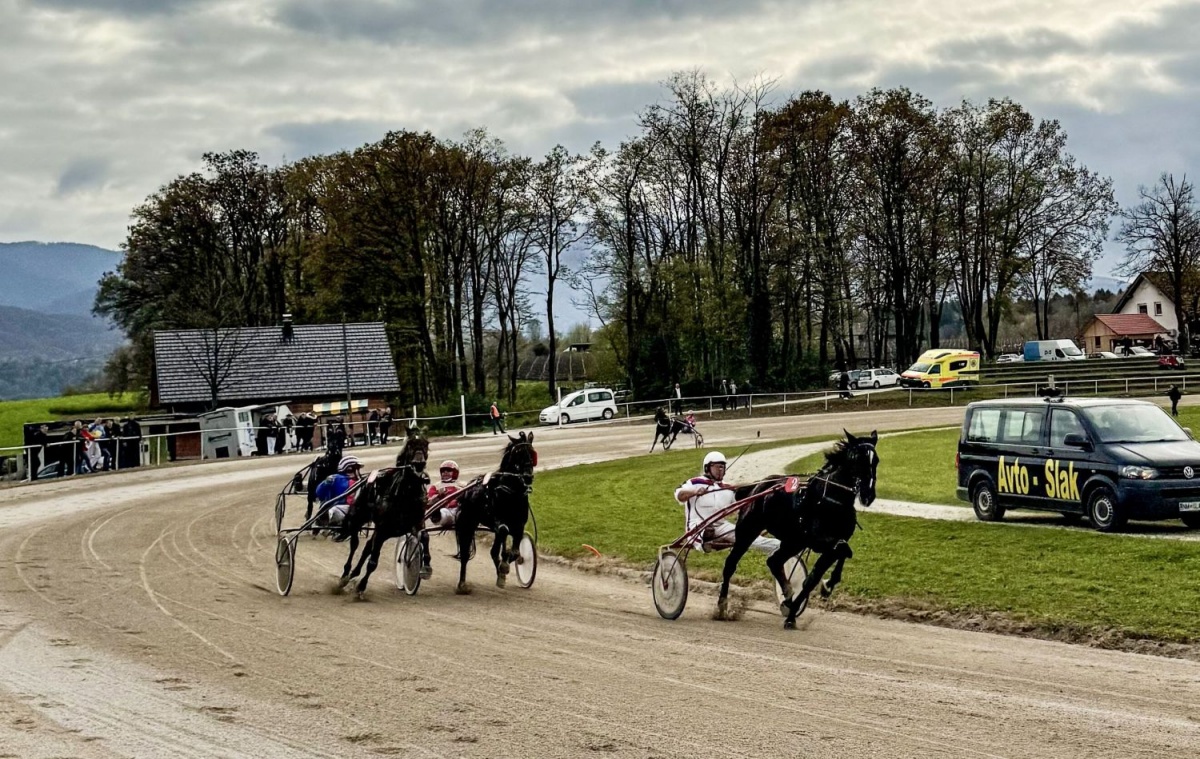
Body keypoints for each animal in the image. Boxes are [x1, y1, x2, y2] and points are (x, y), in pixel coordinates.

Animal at [336, 427, 429, 598]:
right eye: (410, 444)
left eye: (426, 443)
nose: (419, 464)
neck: (406, 494)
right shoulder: (382, 529)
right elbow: (373, 562)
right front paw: (361, 587)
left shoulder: (416, 522)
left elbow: (425, 536)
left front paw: (426, 566)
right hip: (358, 519)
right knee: (355, 544)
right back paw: (345, 575)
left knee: (367, 546)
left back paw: (354, 573)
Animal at [453, 432, 540, 593]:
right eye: (517, 454)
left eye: (532, 453)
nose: (528, 477)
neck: (511, 492)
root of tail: (467, 490)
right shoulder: (498, 522)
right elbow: (503, 534)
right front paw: (504, 566)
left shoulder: (519, 525)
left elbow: (515, 552)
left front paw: (508, 565)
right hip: (467, 524)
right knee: (465, 555)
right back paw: (462, 584)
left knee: (495, 549)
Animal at [715, 429, 878, 629]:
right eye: (857, 459)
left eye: (875, 460)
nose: (868, 495)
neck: (832, 501)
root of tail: (756, 486)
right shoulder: (820, 541)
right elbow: (842, 550)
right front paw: (826, 586)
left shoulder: (832, 543)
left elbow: (819, 572)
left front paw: (796, 609)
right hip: (748, 531)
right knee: (730, 564)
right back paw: (722, 606)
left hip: (793, 542)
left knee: (774, 561)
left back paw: (787, 595)